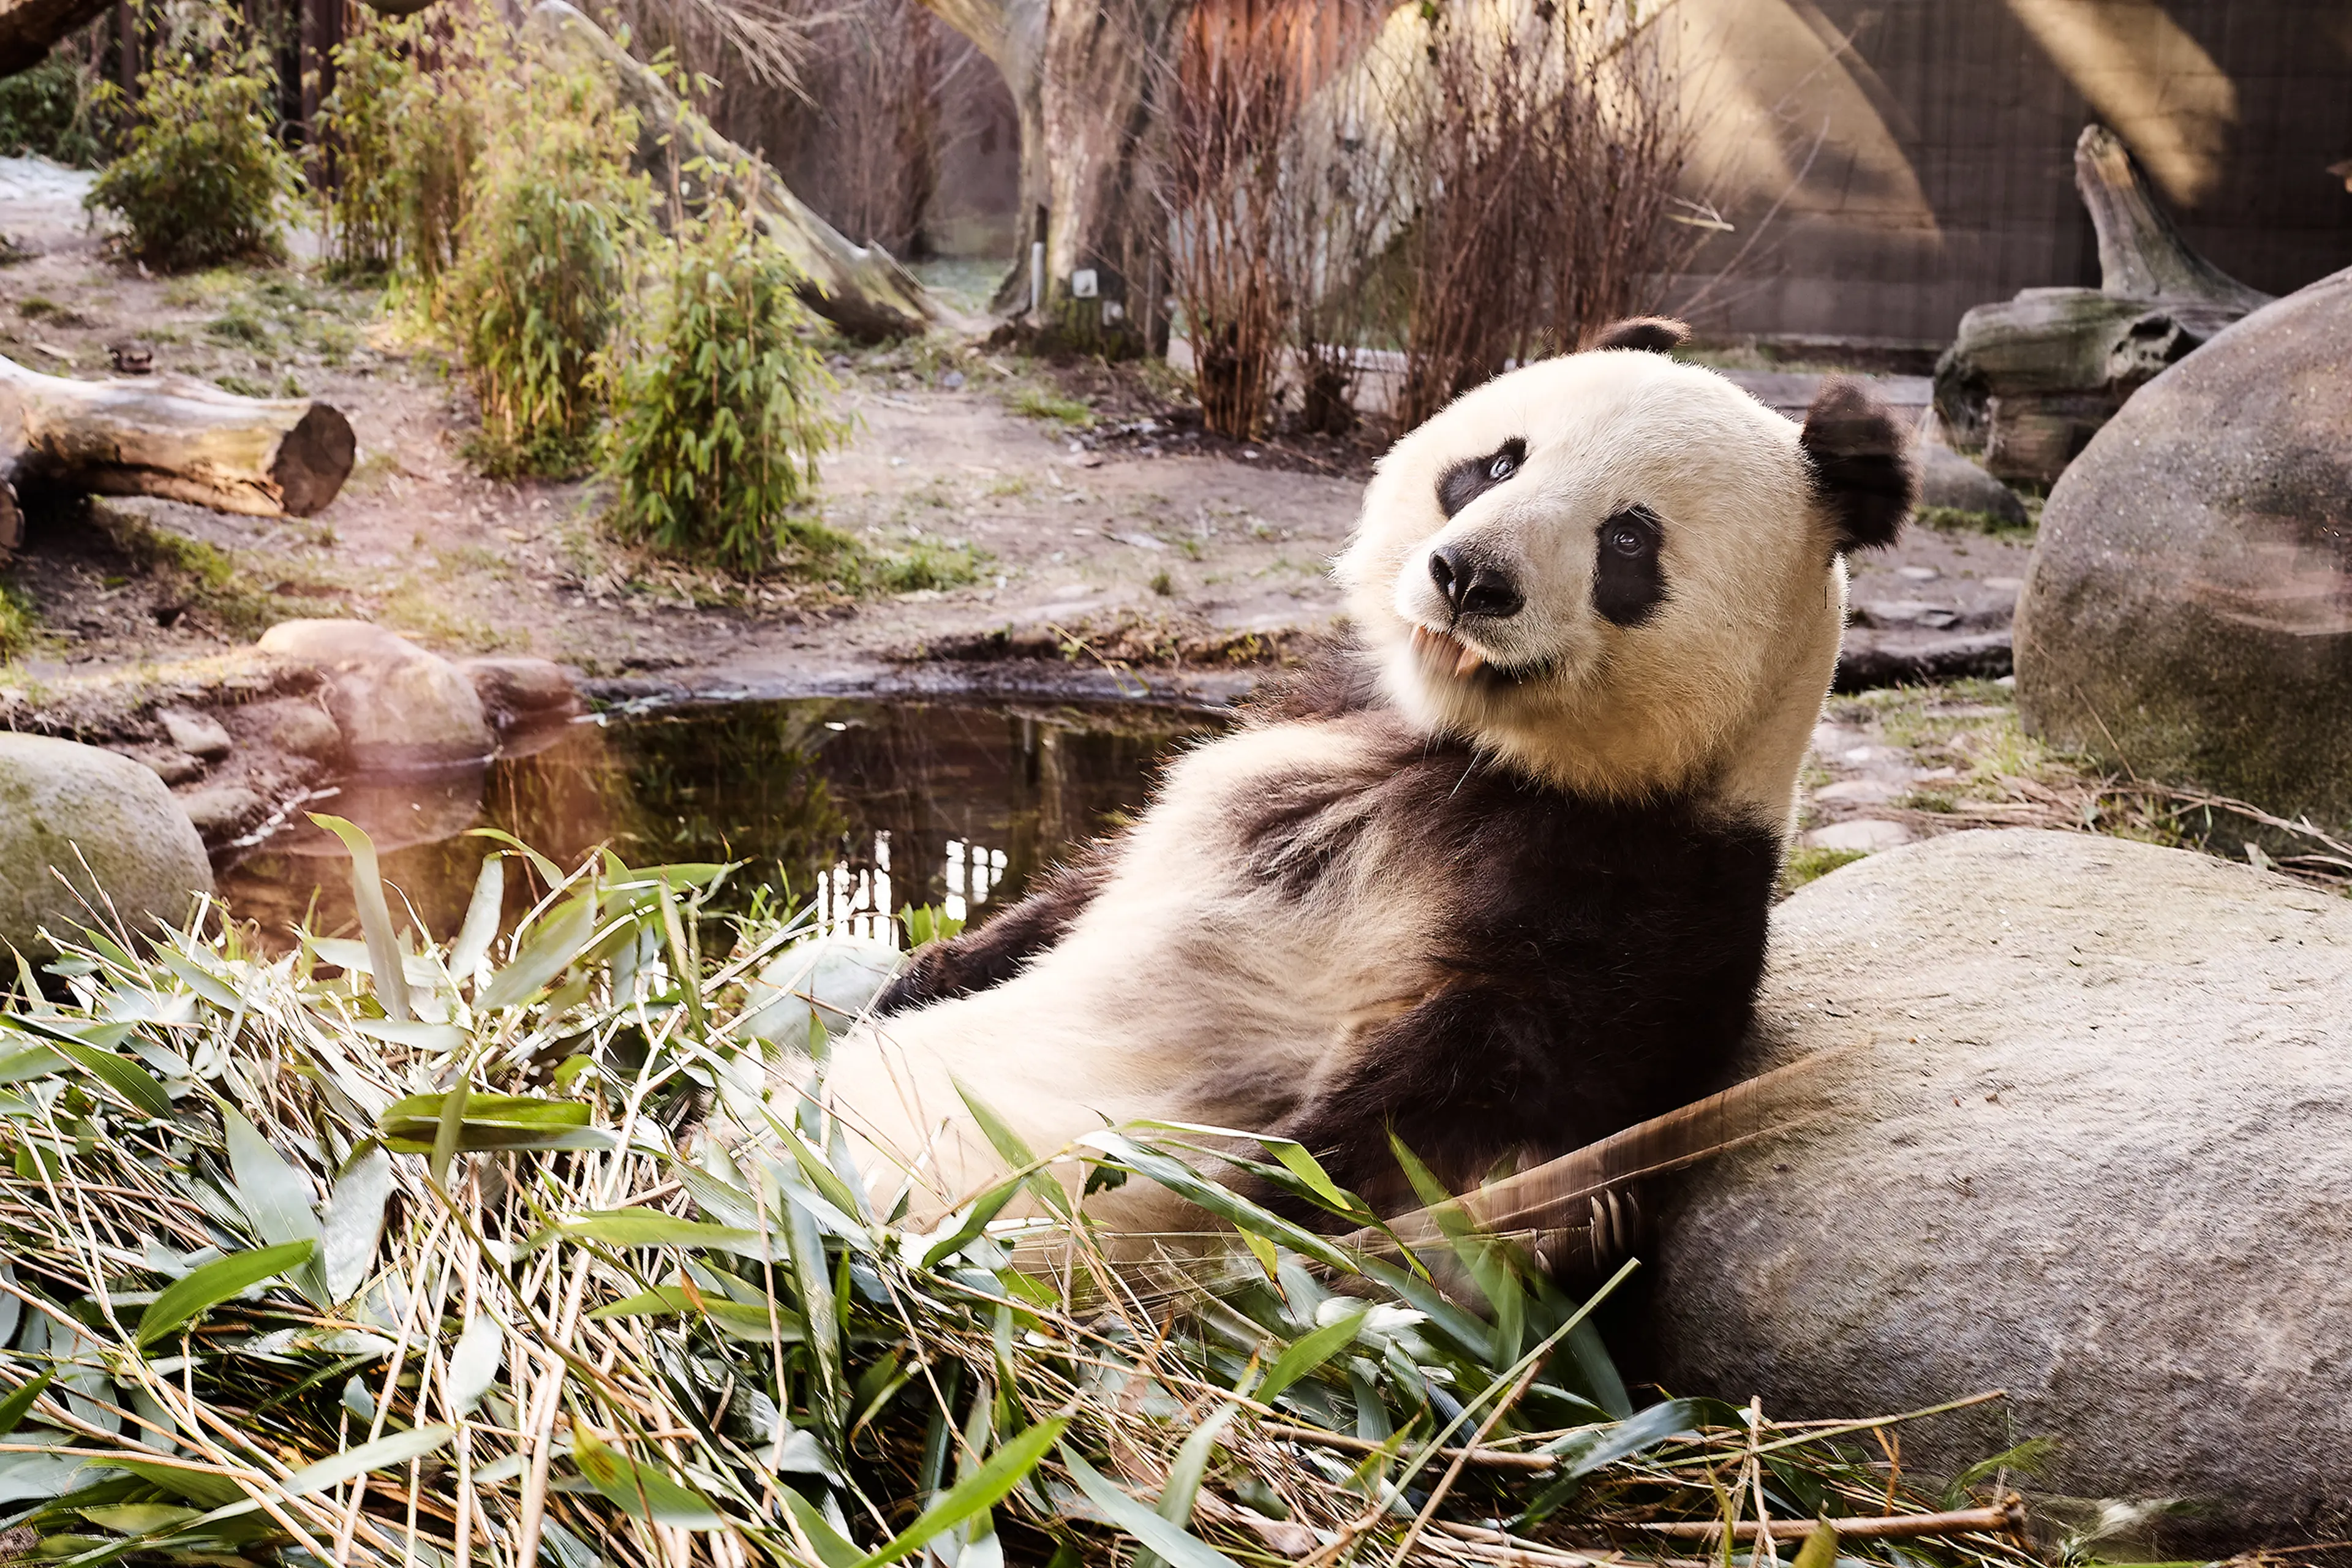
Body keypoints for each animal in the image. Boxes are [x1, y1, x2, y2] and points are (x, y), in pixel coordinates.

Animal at [802, 318, 1914, 1238]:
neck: (1485, 752)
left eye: (1629, 538)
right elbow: (1089, 881)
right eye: (1496, 463)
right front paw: (919, 975)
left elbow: (1436, 1118)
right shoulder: (1308, 725)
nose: (1469, 576)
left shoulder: (1647, 904)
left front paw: (1253, 1193)